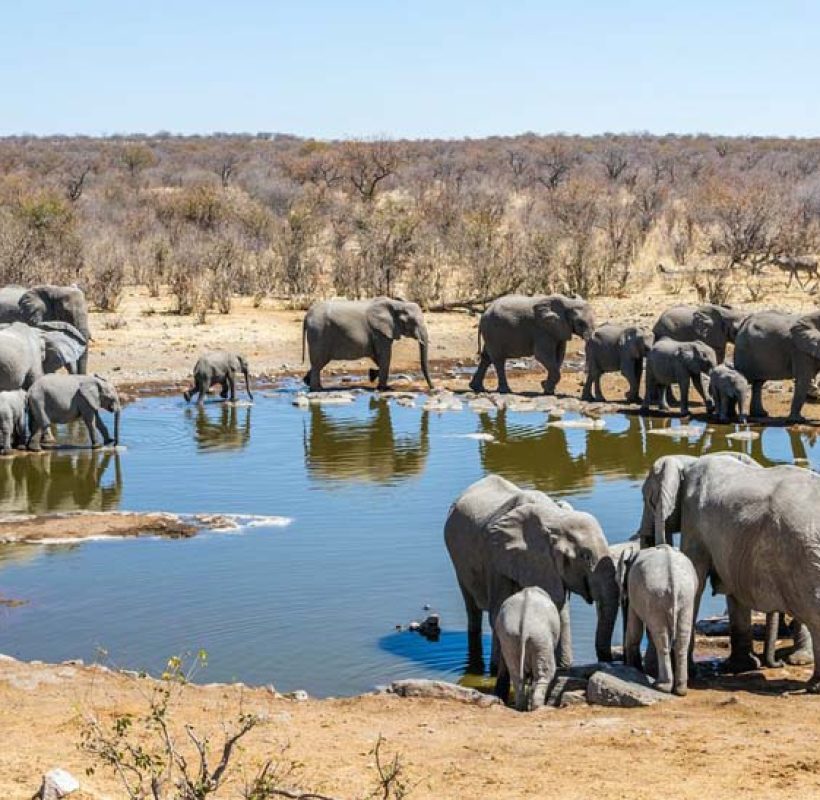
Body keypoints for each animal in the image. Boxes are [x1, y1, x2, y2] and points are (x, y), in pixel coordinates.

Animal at [302, 297, 433, 392]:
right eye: (413, 322)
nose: (432, 388)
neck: (397, 304)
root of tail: (307, 315)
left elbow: (378, 357)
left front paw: (373, 375)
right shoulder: (380, 332)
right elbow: (385, 356)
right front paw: (385, 388)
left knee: (318, 364)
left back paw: (307, 382)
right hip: (319, 333)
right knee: (318, 363)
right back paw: (317, 389)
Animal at [443, 474, 619, 685]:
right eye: (585, 556)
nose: (609, 661)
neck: (555, 517)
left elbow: (560, 612)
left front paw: (563, 668)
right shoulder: (495, 557)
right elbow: (498, 612)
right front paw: (496, 672)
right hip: (458, 561)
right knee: (472, 609)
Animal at [618, 544, 698, 695]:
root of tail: (674, 581)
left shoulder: (634, 593)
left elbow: (634, 629)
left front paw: (632, 669)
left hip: (655, 595)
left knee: (661, 639)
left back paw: (661, 686)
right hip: (685, 597)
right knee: (682, 638)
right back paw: (680, 690)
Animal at [638, 452, 820, 690]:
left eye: (647, 498)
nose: (776, 664)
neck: (689, 462)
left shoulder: (694, 520)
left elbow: (697, 580)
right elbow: (734, 592)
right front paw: (741, 667)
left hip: (801, 552)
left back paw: (812, 682)